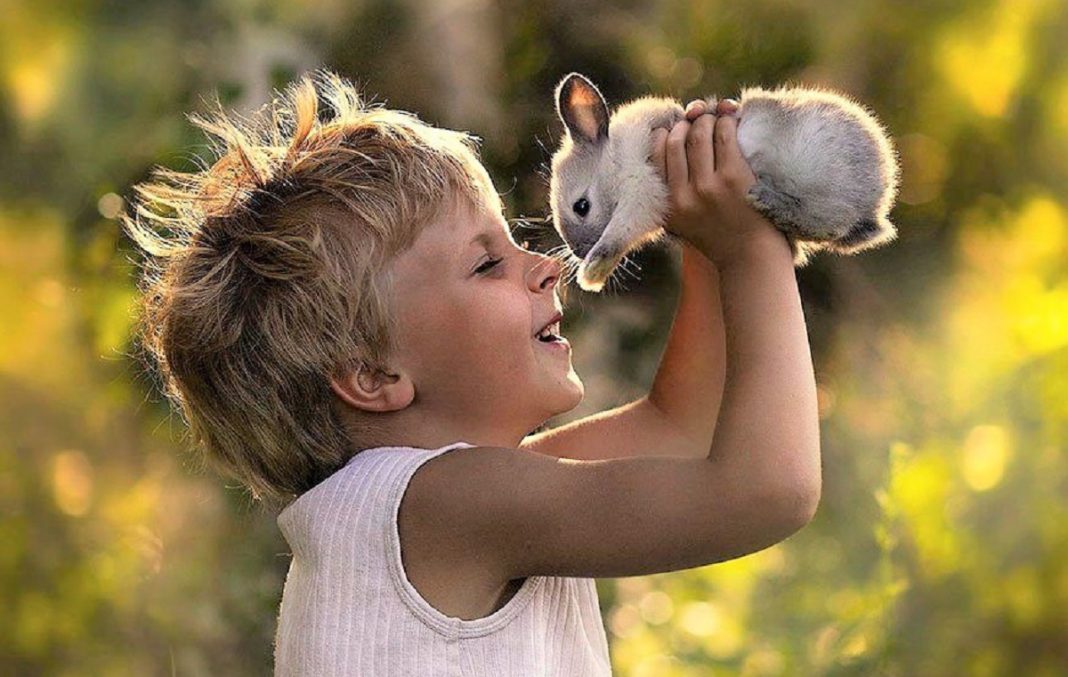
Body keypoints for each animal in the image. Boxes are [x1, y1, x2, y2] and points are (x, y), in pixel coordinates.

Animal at [551, 72, 901, 290]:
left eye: (581, 206)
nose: (579, 252)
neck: (615, 160)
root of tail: (876, 203)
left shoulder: (642, 189)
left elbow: (619, 233)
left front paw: (591, 274)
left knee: (830, 221)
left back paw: (768, 200)